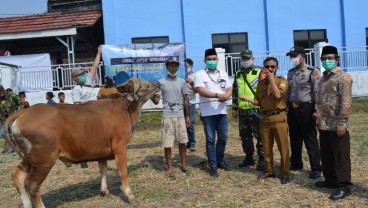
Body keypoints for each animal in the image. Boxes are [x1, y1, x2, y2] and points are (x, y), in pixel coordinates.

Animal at [3, 77, 160, 208]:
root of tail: (22, 113)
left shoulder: (102, 152)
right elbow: (123, 172)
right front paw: (130, 196)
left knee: (17, 175)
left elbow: (103, 170)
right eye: (146, 85)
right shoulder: (120, 147)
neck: (125, 109)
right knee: (31, 185)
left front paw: (104, 191)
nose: (157, 84)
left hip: (31, 159)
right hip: (44, 160)